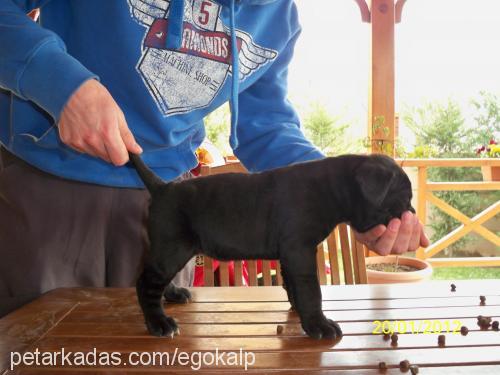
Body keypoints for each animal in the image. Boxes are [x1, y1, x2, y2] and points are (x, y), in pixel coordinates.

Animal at [129, 153, 414, 340]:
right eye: (405, 197)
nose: (412, 214)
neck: (332, 187)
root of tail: (162, 188)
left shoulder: (291, 253)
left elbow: (294, 285)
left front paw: (301, 312)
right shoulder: (300, 250)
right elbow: (312, 290)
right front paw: (319, 325)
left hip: (172, 250)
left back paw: (174, 294)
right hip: (172, 249)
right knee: (146, 283)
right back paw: (159, 322)